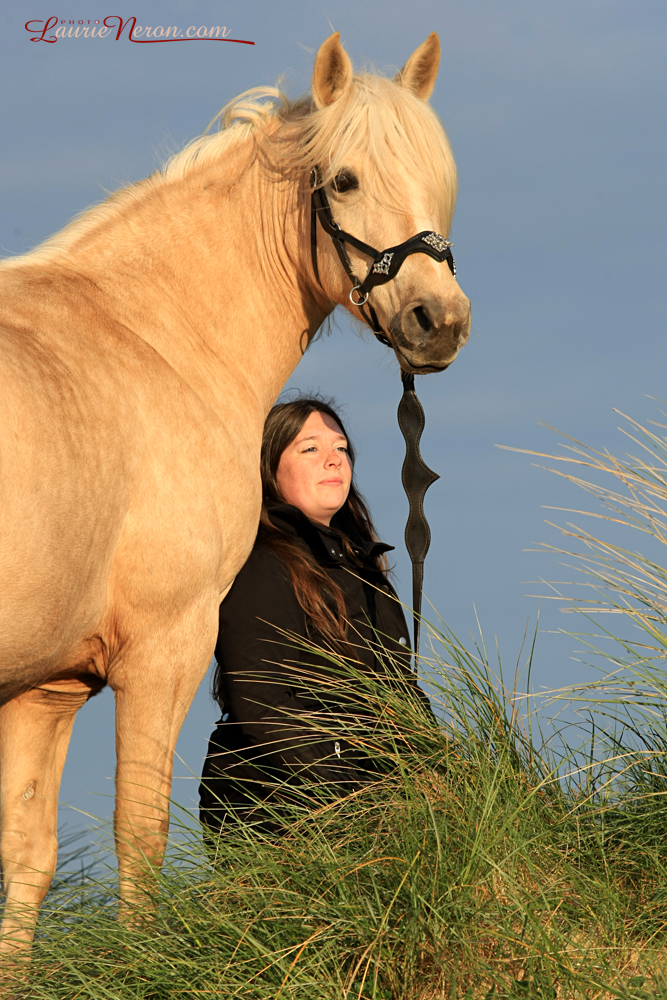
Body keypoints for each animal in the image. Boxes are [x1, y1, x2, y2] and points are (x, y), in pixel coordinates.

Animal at [0, 31, 470, 948]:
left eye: (443, 179)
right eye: (344, 180)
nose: (440, 321)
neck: (147, 337)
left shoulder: (47, 685)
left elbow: (25, 858)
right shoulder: (165, 647)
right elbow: (140, 837)